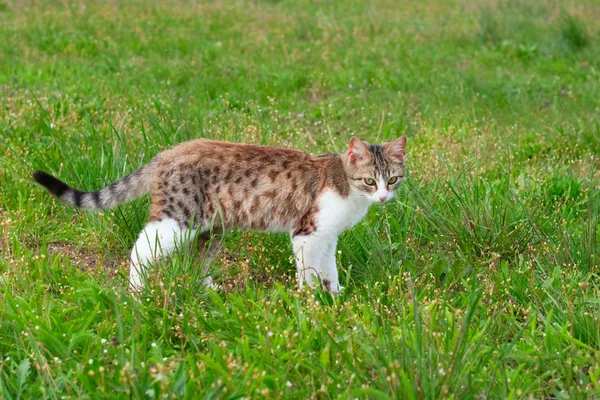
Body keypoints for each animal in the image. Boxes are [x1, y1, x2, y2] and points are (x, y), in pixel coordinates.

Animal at [34, 135, 408, 294]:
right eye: (369, 180)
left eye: (392, 179)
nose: (383, 196)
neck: (344, 184)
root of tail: (169, 152)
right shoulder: (308, 232)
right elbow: (309, 271)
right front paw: (312, 299)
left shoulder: (327, 236)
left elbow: (328, 268)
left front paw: (335, 293)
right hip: (177, 219)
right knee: (140, 249)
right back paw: (137, 293)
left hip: (210, 228)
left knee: (196, 260)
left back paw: (207, 289)